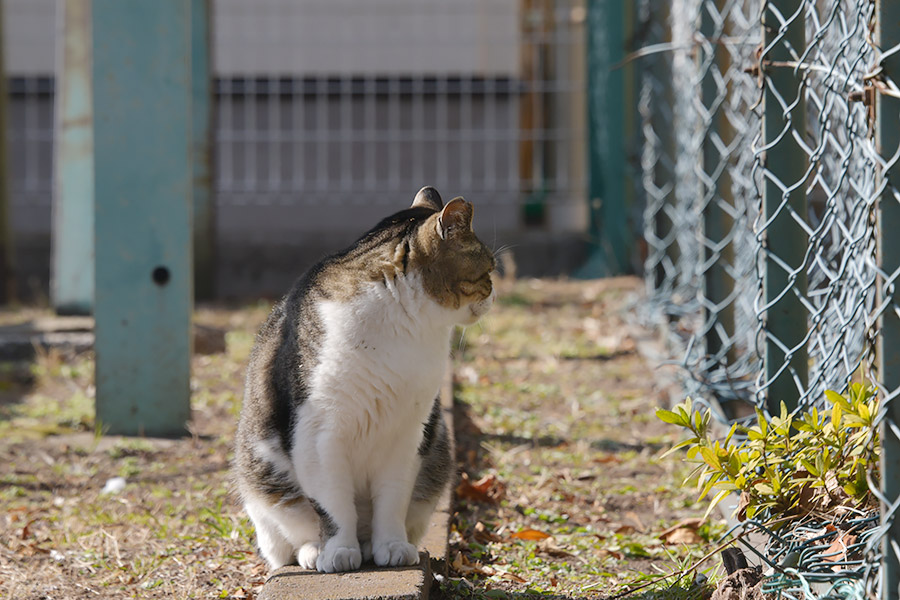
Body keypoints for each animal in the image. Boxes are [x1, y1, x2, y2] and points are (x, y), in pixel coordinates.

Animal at [232, 186, 496, 572]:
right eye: (488, 269)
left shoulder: (409, 434)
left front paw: (391, 546)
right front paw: (338, 551)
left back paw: (371, 545)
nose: (495, 293)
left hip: (437, 452)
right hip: (263, 481)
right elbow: (333, 505)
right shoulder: (318, 435)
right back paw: (314, 552)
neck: (405, 325)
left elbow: (393, 499)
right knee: (292, 532)